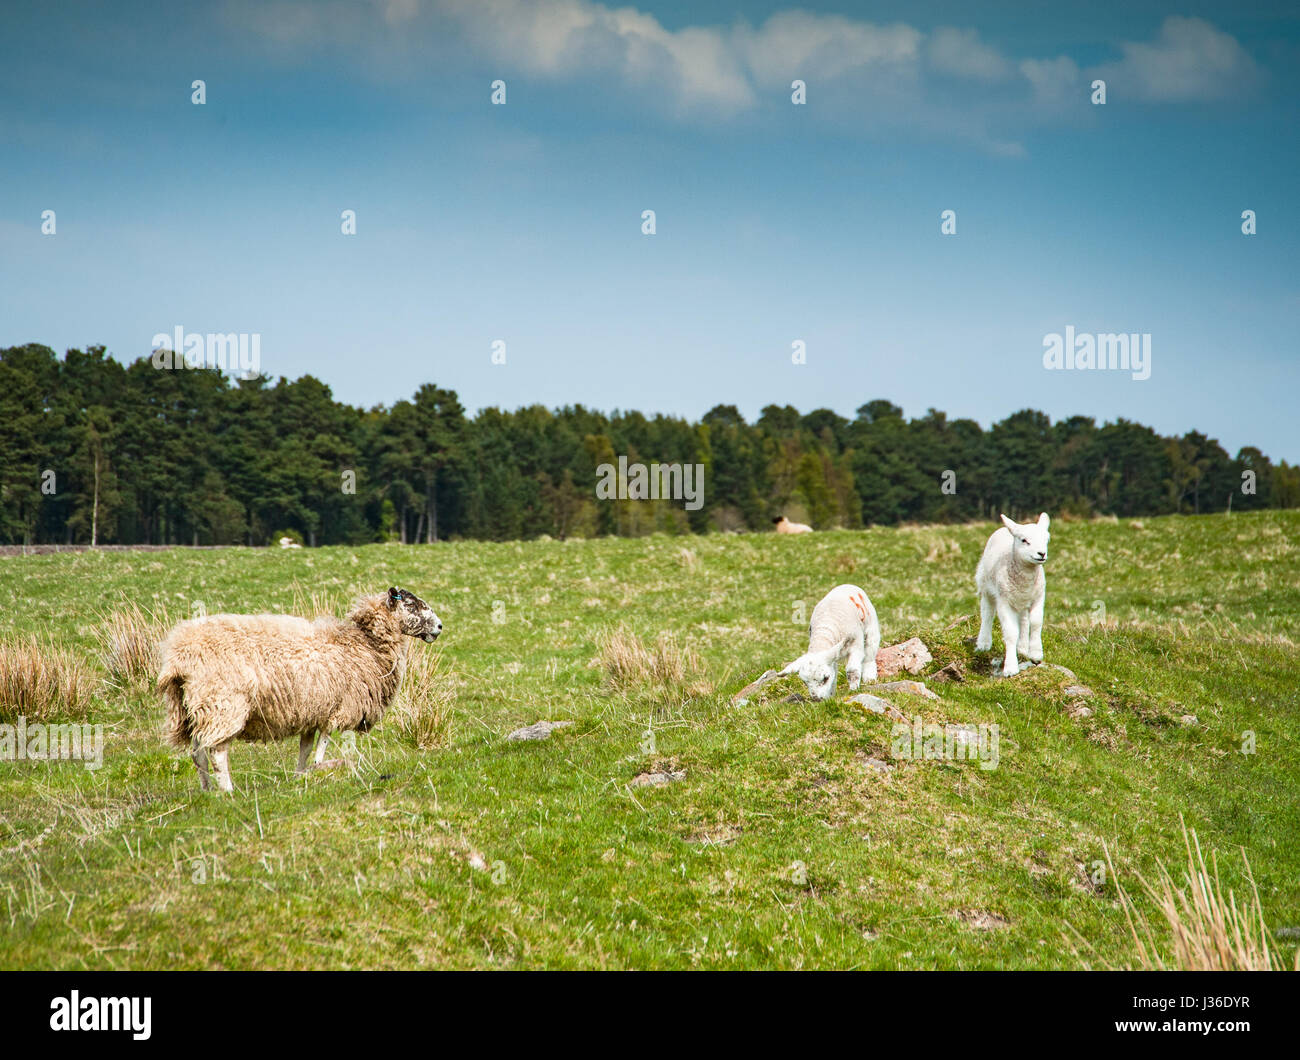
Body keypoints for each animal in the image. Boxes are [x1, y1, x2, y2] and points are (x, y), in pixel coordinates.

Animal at [158, 587, 442, 792]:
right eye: (411, 605)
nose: (440, 626)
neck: (364, 643)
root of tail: (179, 654)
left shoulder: (312, 711)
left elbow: (305, 749)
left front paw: (299, 776)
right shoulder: (338, 708)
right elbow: (321, 749)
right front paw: (324, 767)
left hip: (192, 708)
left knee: (198, 754)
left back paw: (207, 791)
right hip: (223, 704)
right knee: (216, 751)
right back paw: (227, 791)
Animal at [975, 513, 1051, 676]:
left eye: (1046, 540)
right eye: (1024, 540)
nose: (1041, 553)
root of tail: (1006, 528)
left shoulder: (1038, 596)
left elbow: (1036, 622)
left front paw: (1036, 653)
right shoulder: (1004, 601)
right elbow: (1010, 632)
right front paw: (1010, 667)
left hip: (1021, 601)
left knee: (1023, 619)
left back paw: (1022, 647)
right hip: (986, 586)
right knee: (987, 613)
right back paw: (984, 643)